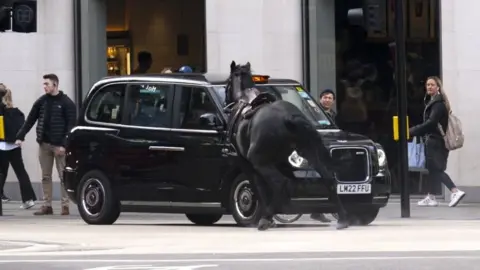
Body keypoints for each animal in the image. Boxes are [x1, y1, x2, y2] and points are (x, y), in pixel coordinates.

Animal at [225, 61, 348, 230]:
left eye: (227, 82)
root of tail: (288, 117)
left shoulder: (247, 164)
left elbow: (259, 188)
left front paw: (267, 215)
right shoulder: (281, 162)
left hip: (260, 161)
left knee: (280, 182)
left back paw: (266, 217)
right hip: (309, 152)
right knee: (328, 179)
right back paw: (342, 218)